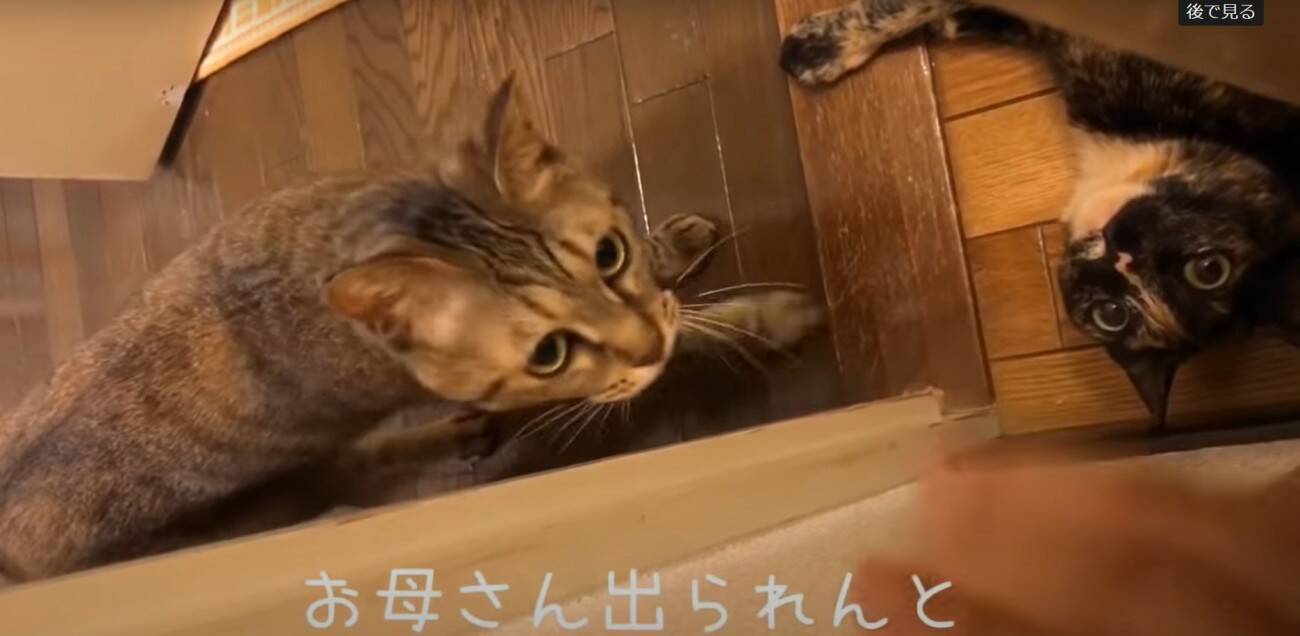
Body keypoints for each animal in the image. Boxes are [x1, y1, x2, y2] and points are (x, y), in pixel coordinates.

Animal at [0, 77, 824, 582]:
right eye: (548, 353)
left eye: (608, 254)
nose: (647, 339)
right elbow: (689, 346)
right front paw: (769, 319)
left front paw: (675, 252)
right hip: (276, 497)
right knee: (352, 472)